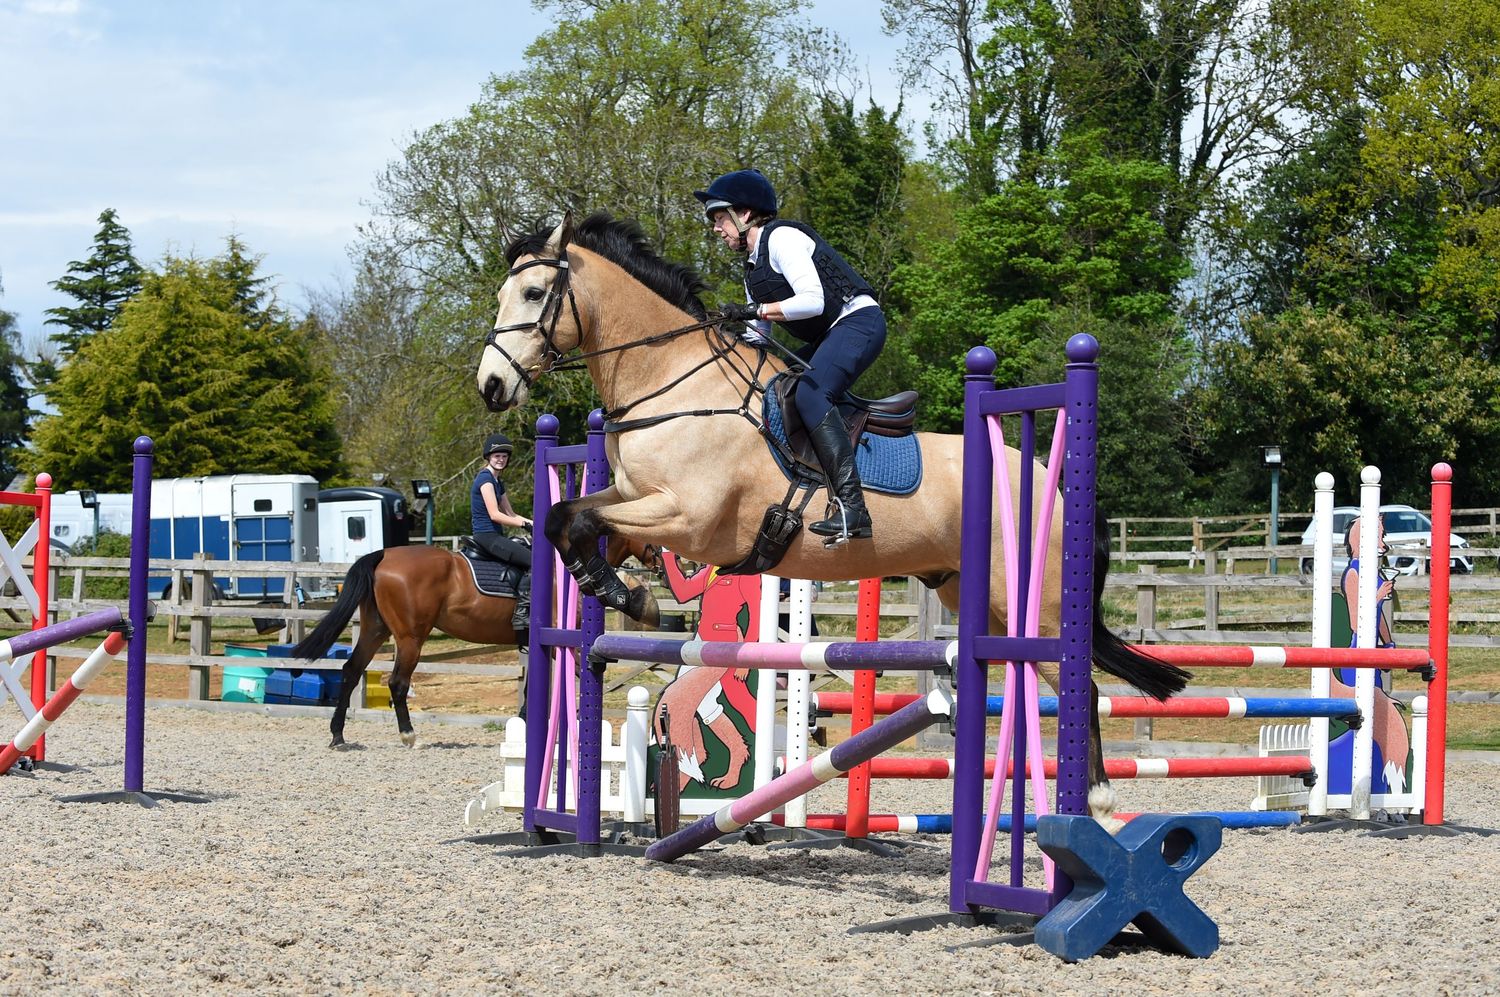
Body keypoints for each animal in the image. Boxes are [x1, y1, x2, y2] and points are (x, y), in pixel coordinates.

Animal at [292, 535, 657, 748]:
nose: (665, 559)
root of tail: (383, 555)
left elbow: (530, 689)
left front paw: (524, 728)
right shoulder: (561, 644)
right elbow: (576, 675)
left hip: (375, 630)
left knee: (351, 670)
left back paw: (338, 736)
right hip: (410, 637)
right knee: (397, 682)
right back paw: (408, 735)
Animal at [474, 212, 1189, 824]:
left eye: (534, 293)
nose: (491, 387)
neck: (674, 384)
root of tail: (1055, 484)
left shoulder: (687, 518)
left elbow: (582, 525)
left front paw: (626, 594)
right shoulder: (632, 503)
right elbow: (567, 519)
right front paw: (626, 593)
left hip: (1029, 601)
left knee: (1078, 686)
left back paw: (1094, 802)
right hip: (971, 595)